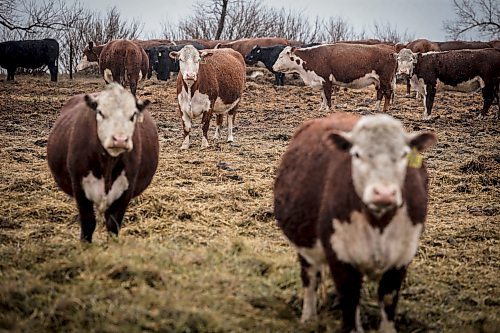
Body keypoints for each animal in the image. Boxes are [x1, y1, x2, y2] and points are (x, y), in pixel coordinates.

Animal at [47, 83, 158, 243]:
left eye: (133, 115)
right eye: (101, 113)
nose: (120, 140)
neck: (108, 164)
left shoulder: (126, 189)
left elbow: (113, 224)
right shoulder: (79, 187)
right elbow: (88, 223)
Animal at [276, 112, 436, 332]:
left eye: (404, 154)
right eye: (357, 154)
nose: (384, 193)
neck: (378, 223)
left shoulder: (401, 259)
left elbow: (387, 302)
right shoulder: (341, 258)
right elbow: (350, 304)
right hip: (306, 247)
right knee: (310, 278)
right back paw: (308, 318)